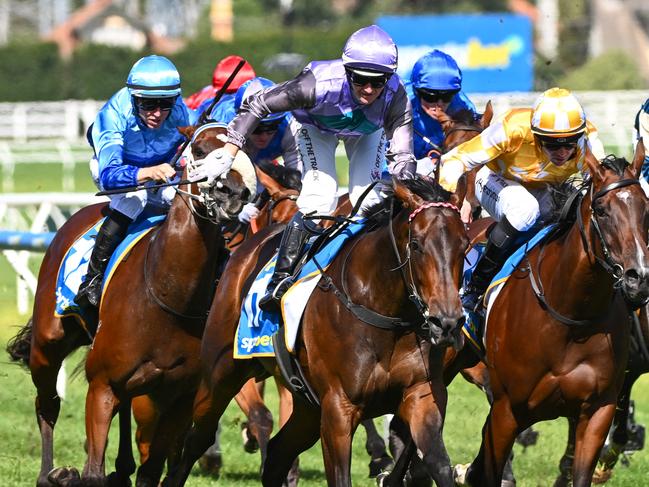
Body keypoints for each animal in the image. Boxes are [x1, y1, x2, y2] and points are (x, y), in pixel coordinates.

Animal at [161, 176, 466, 487]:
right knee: (196, 440)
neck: (383, 314)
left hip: (306, 405)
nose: (446, 321)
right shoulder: (338, 408)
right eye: (416, 244)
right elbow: (341, 477)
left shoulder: (421, 396)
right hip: (220, 374)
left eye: (464, 244)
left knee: (277, 453)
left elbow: (438, 465)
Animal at [448, 146, 648, 487]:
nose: (639, 278)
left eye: (645, 209)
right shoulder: (506, 410)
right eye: (601, 210)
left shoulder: (597, 411)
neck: (570, 317)